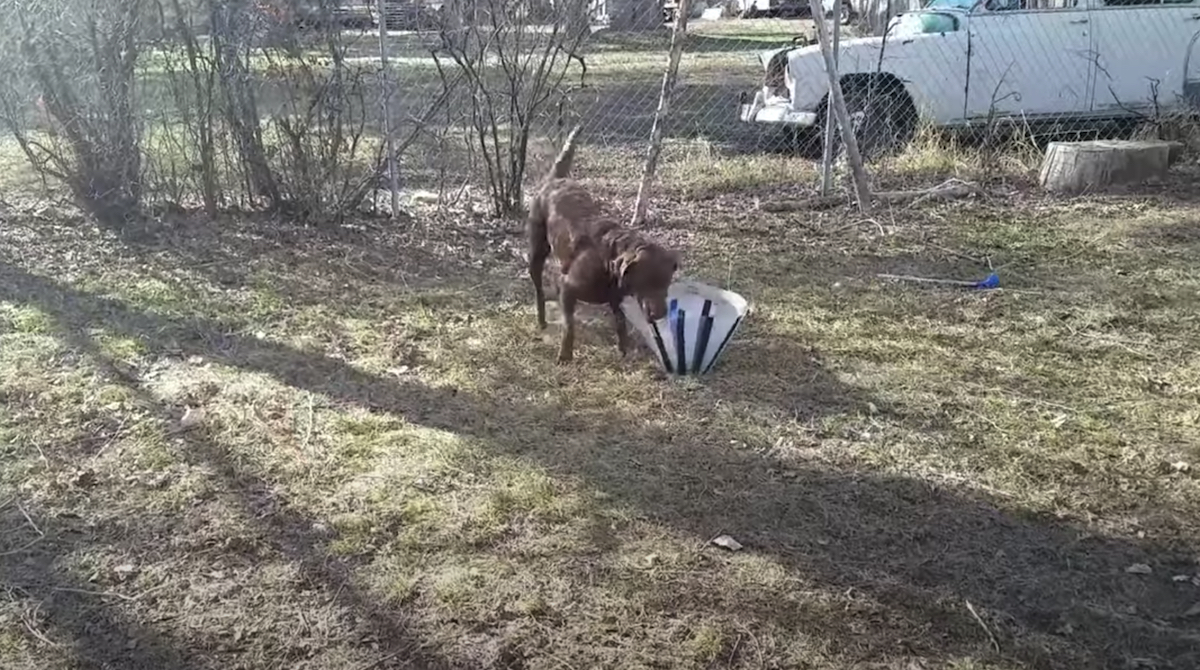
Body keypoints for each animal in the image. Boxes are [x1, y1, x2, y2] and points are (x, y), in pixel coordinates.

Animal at [530, 127, 681, 365]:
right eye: (646, 281)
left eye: (666, 282)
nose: (660, 315)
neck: (607, 261)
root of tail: (557, 179)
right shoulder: (569, 288)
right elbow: (569, 326)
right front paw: (565, 355)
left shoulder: (615, 299)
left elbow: (620, 322)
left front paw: (624, 349)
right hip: (536, 251)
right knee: (538, 288)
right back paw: (542, 319)